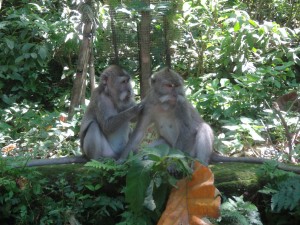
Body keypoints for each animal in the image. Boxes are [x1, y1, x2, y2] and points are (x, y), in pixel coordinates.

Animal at [118, 67, 300, 174]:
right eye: (169, 86)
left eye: (178, 86)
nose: (177, 94)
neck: (164, 104)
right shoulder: (148, 104)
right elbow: (139, 132)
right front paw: (121, 159)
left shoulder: (181, 105)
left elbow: (187, 130)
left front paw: (173, 164)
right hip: (167, 147)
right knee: (159, 144)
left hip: (191, 152)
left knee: (203, 129)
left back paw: (200, 164)